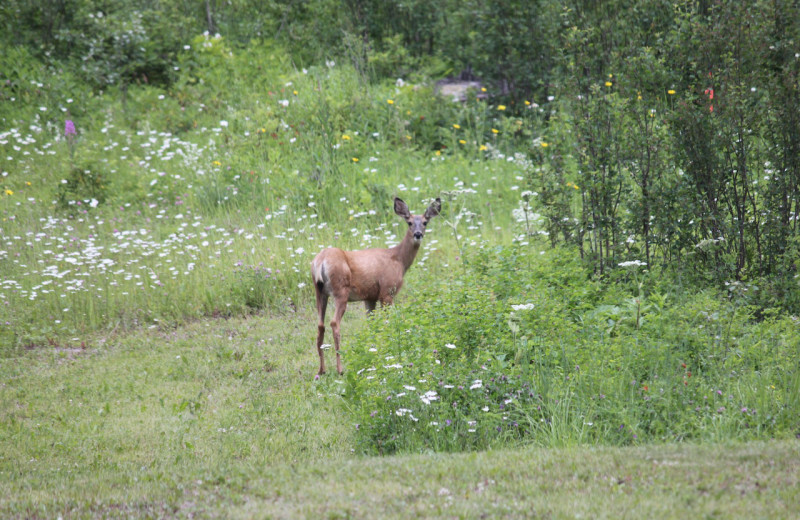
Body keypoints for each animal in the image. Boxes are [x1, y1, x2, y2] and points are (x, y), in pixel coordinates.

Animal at [310, 197, 440, 376]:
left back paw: (321, 370)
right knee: (334, 323)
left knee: (320, 325)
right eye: (409, 222)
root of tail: (320, 261)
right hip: (340, 291)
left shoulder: (369, 297)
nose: (418, 234)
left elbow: (371, 325)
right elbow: (387, 322)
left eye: (425, 222)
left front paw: (374, 350)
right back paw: (340, 369)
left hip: (320, 292)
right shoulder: (387, 292)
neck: (399, 259)